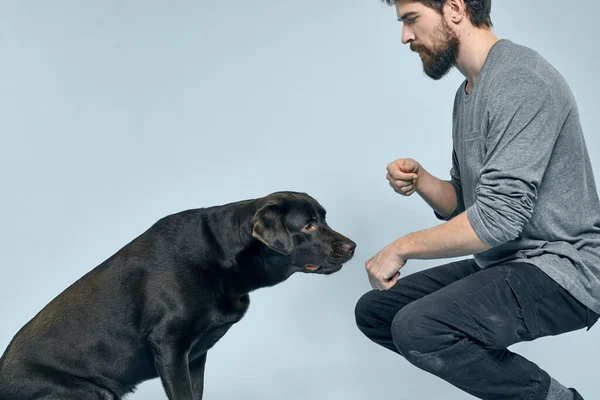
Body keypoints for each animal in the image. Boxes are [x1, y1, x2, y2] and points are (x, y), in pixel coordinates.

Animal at [0, 192, 356, 398]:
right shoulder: (170, 347)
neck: (221, 256)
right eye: (308, 225)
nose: (352, 246)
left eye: (323, 218)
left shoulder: (195, 356)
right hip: (87, 391)